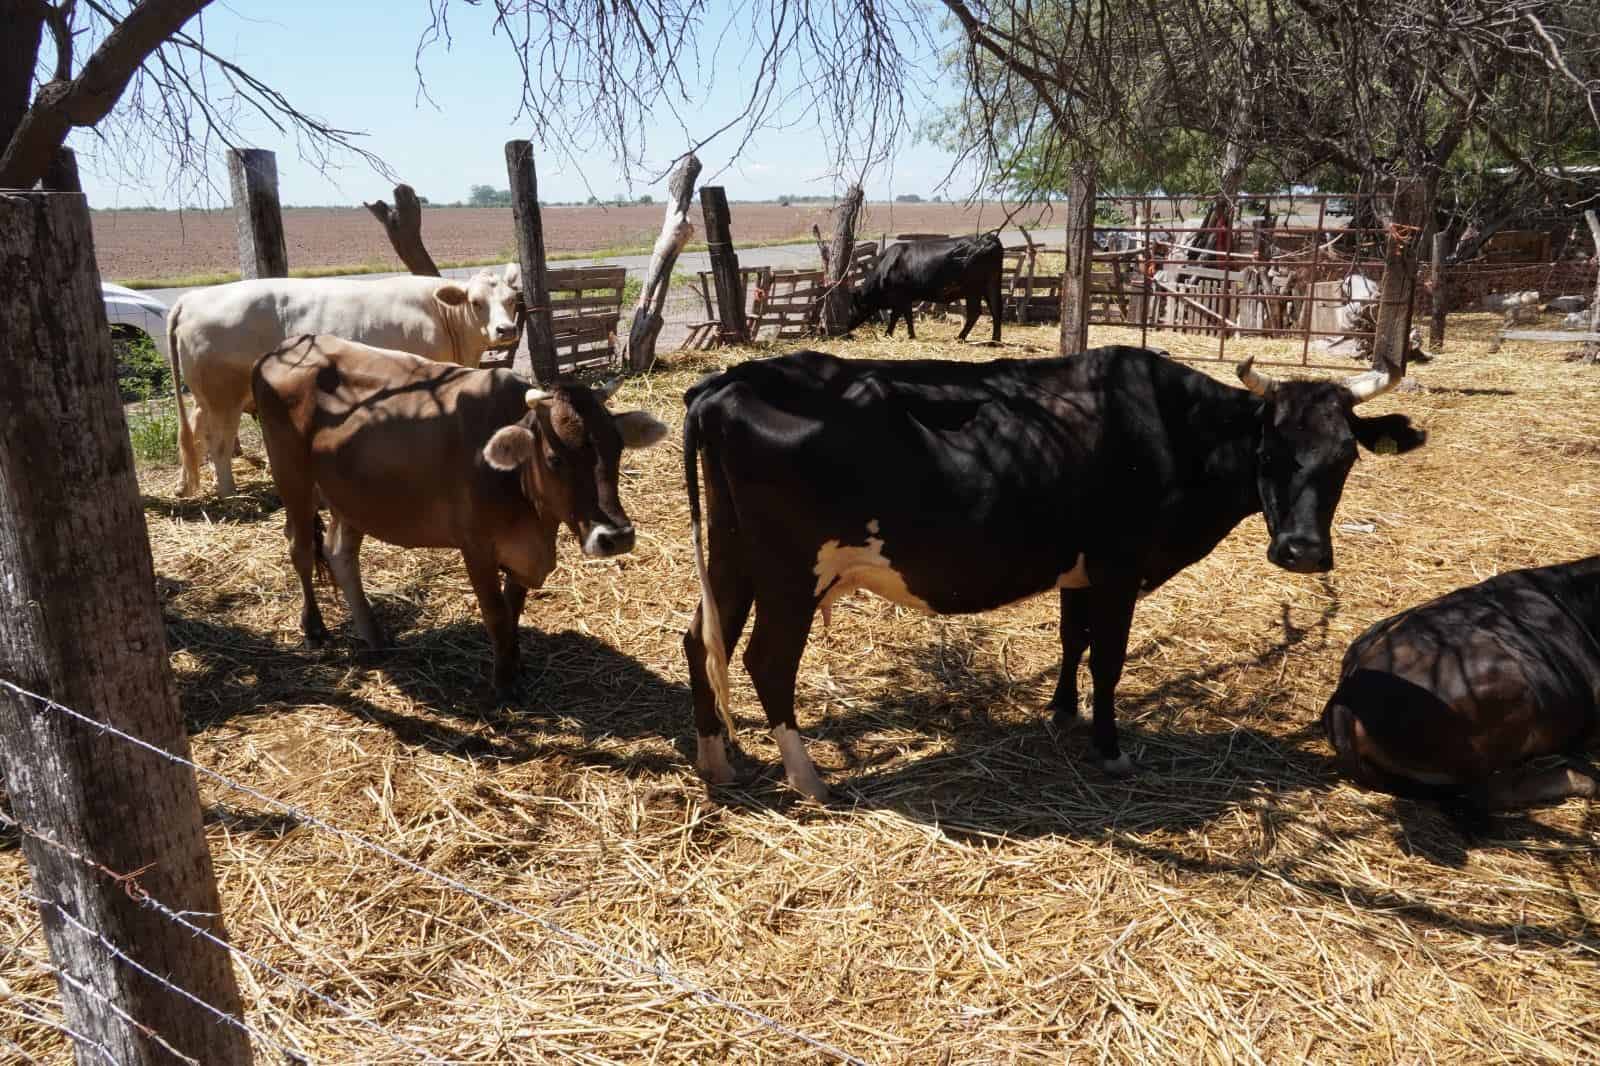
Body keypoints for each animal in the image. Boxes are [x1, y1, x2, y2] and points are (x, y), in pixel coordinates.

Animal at [252, 336, 665, 694]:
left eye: (617, 449)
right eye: (555, 458)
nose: (616, 537)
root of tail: (277, 350)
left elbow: (513, 609)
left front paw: (515, 665)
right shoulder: (476, 547)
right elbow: (495, 612)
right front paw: (504, 684)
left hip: (349, 498)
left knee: (340, 554)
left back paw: (374, 636)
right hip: (292, 477)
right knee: (301, 550)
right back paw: (314, 628)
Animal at [678, 344, 1427, 793]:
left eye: (1345, 458)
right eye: (1269, 452)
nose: (1301, 551)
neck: (1170, 427)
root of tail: (728, 380)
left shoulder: (1081, 569)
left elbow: (1073, 640)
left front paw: (1062, 712)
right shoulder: (1121, 565)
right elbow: (1109, 658)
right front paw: (1109, 746)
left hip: (731, 556)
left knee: (700, 642)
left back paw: (718, 762)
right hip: (790, 572)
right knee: (767, 660)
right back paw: (808, 779)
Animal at [851, 232, 998, 340]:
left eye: (852, 308)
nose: (846, 328)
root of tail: (988, 238)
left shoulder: (900, 297)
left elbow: (896, 316)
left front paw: (888, 334)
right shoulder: (906, 299)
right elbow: (908, 316)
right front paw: (911, 335)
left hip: (973, 290)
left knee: (975, 312)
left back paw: (960, 337)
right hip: (989, 285)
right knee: (996, 310)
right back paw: (994, 340)